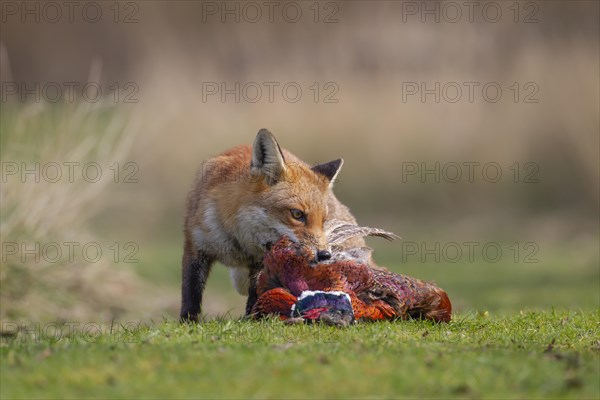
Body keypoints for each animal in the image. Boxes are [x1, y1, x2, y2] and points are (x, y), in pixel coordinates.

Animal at [178, 128, 366, 322]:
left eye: (323, 220)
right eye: (297, 214)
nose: (324, 255)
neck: (239, 243)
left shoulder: (261, 262)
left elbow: (256, 293)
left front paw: (253, 318)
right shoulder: (195, 246)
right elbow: (191, 290)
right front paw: (188, 321)